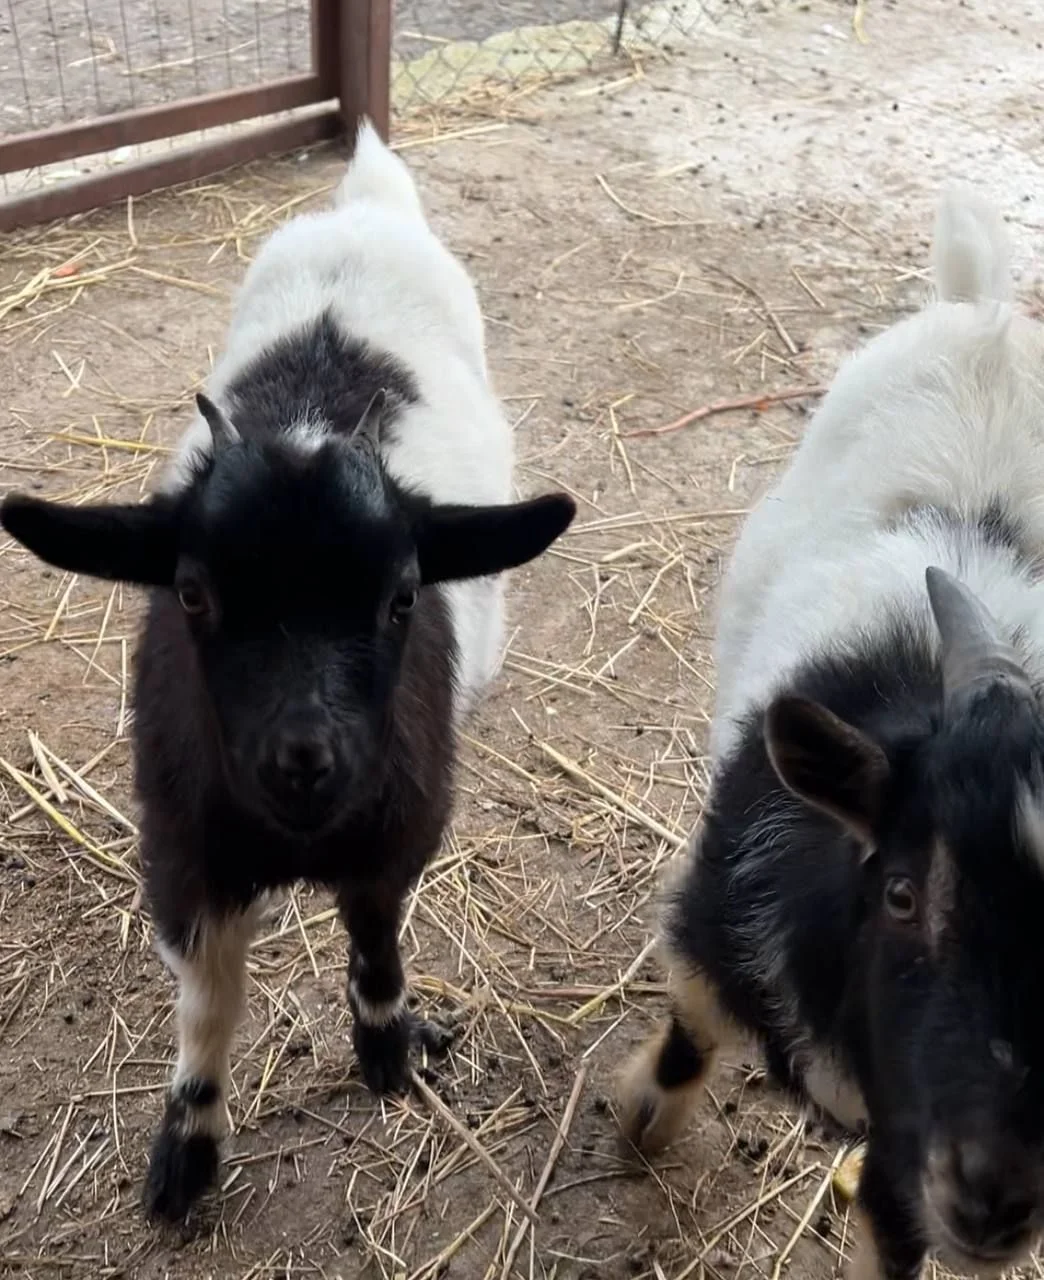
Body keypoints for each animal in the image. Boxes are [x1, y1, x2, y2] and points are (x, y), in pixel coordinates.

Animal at [1, 120, 575, 1222]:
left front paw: (388, 1050)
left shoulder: (399, 828)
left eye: (403, 596)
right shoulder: (184, 857)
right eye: (190, 594)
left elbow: (377, 942)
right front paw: (187, 1148)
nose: (304, 761)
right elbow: (209, 1004)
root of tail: (364, 207)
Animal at [617, 187, 1044, 1280]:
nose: (999, 1199)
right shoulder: (716, 920)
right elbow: (693, 1021)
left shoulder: (909, 1146)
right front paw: (641, 1121)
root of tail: (985, 313)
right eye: (901, 890)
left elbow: (895, 1230)